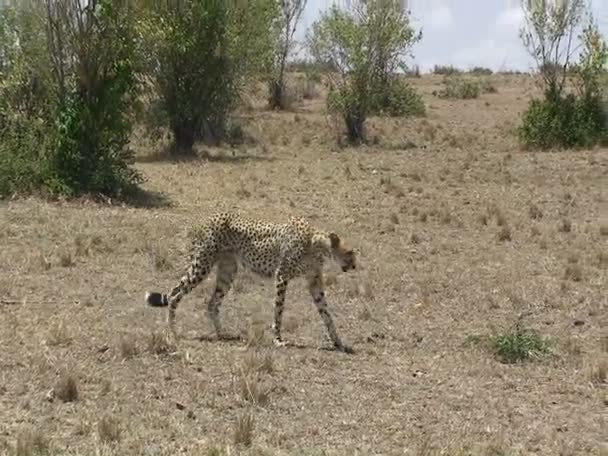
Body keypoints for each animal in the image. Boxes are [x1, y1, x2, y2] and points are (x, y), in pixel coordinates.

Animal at [144, 213, 356, 352]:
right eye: (349, 252)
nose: (354, 265)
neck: (316, 243)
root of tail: (208, 219)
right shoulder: (282, 276)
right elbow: (278, 310)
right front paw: (278, 340)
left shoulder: (314, 282)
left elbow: (326, 313)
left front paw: (338, 342)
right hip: (201, 266)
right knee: (174, 293)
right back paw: (172, 331)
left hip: (227, 272)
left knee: (212, 303)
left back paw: (222, 334)